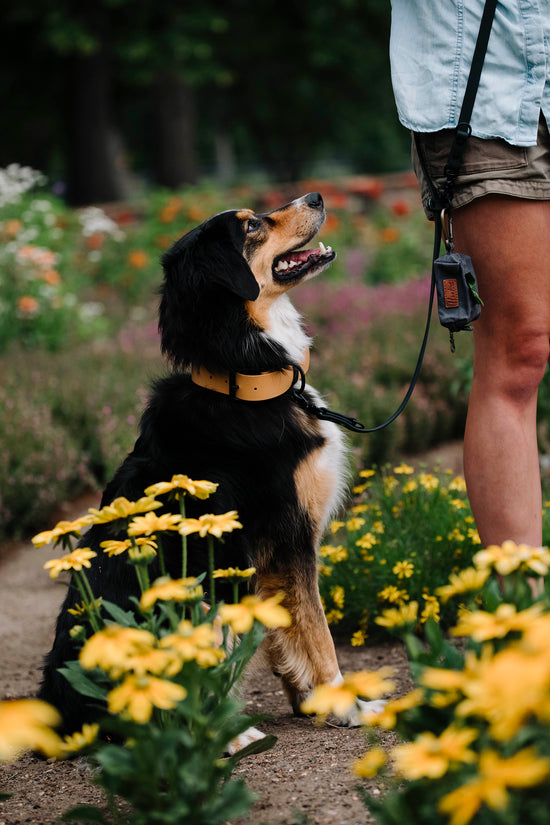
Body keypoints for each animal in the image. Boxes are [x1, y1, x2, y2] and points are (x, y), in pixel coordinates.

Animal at [40, 192, 384, 732]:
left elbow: (284, 636)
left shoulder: (263, 565)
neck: (245, 380)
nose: (316, 196)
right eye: (252, 227)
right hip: (193, 600)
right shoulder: (290, 539)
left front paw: (309, 702)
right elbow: (320, 633)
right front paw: (348, 705)